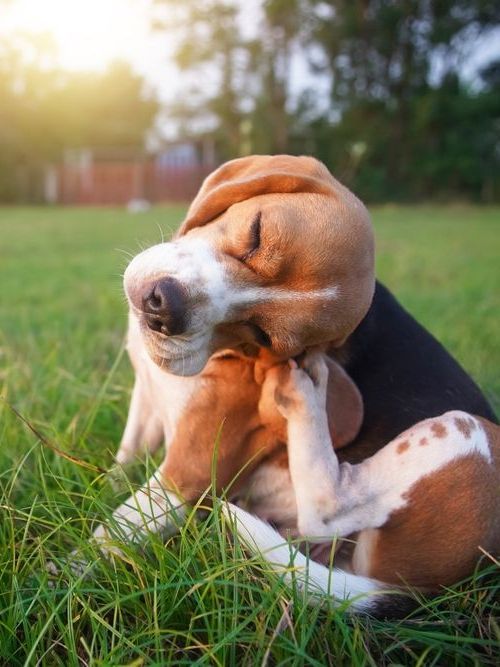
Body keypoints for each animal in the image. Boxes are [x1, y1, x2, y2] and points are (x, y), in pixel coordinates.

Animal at [88, 155, 498, 616]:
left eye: (263, 336)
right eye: (256, 233)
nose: (164, 309)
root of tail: (418, 590)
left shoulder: (187, 475)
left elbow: (104, 537)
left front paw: (56, 577)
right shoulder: (146, 402)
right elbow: (123, 463)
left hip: (469, 433)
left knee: (328, 509)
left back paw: (304, 395)